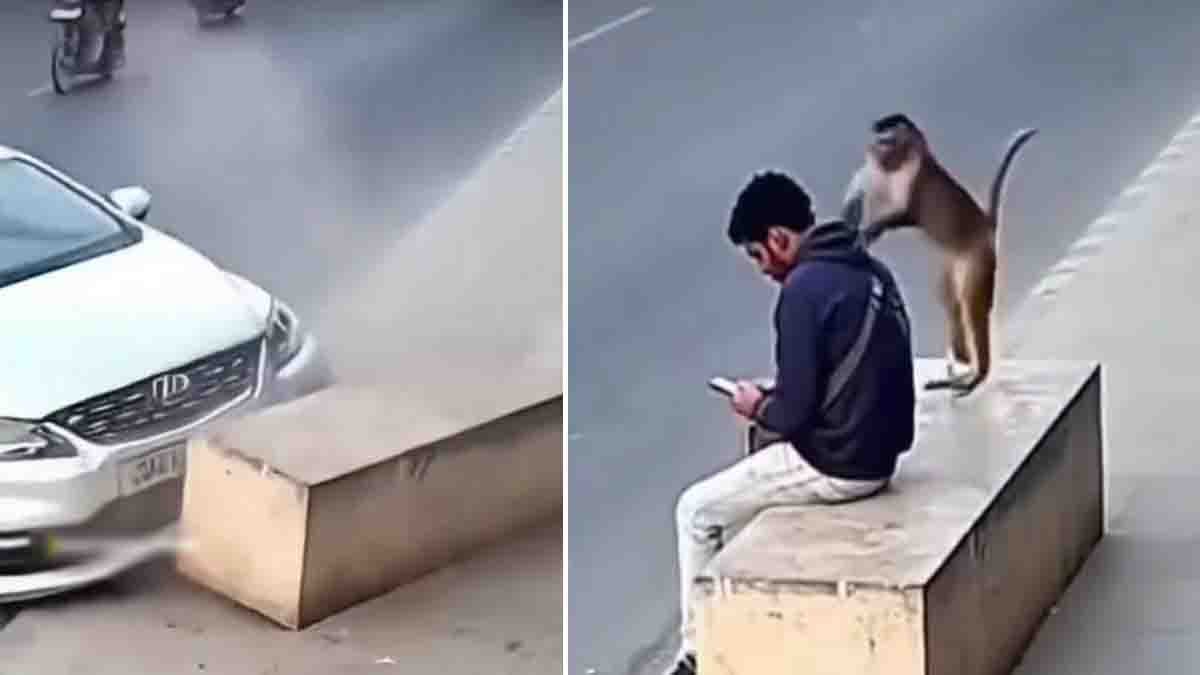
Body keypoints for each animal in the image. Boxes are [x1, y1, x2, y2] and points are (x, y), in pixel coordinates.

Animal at [841, 113, 1037, 396]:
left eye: (889, 139)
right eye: (880, 139)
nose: (880, 150)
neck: (894, 168)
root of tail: (986, 225)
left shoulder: (914, 174)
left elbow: (906, 211)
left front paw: (871, 230)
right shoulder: (872, 171)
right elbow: (855, 199)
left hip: (977, 258)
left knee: (972, 307)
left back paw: (977, 374)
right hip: (953, 265)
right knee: (950, 301)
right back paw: (962, 362)